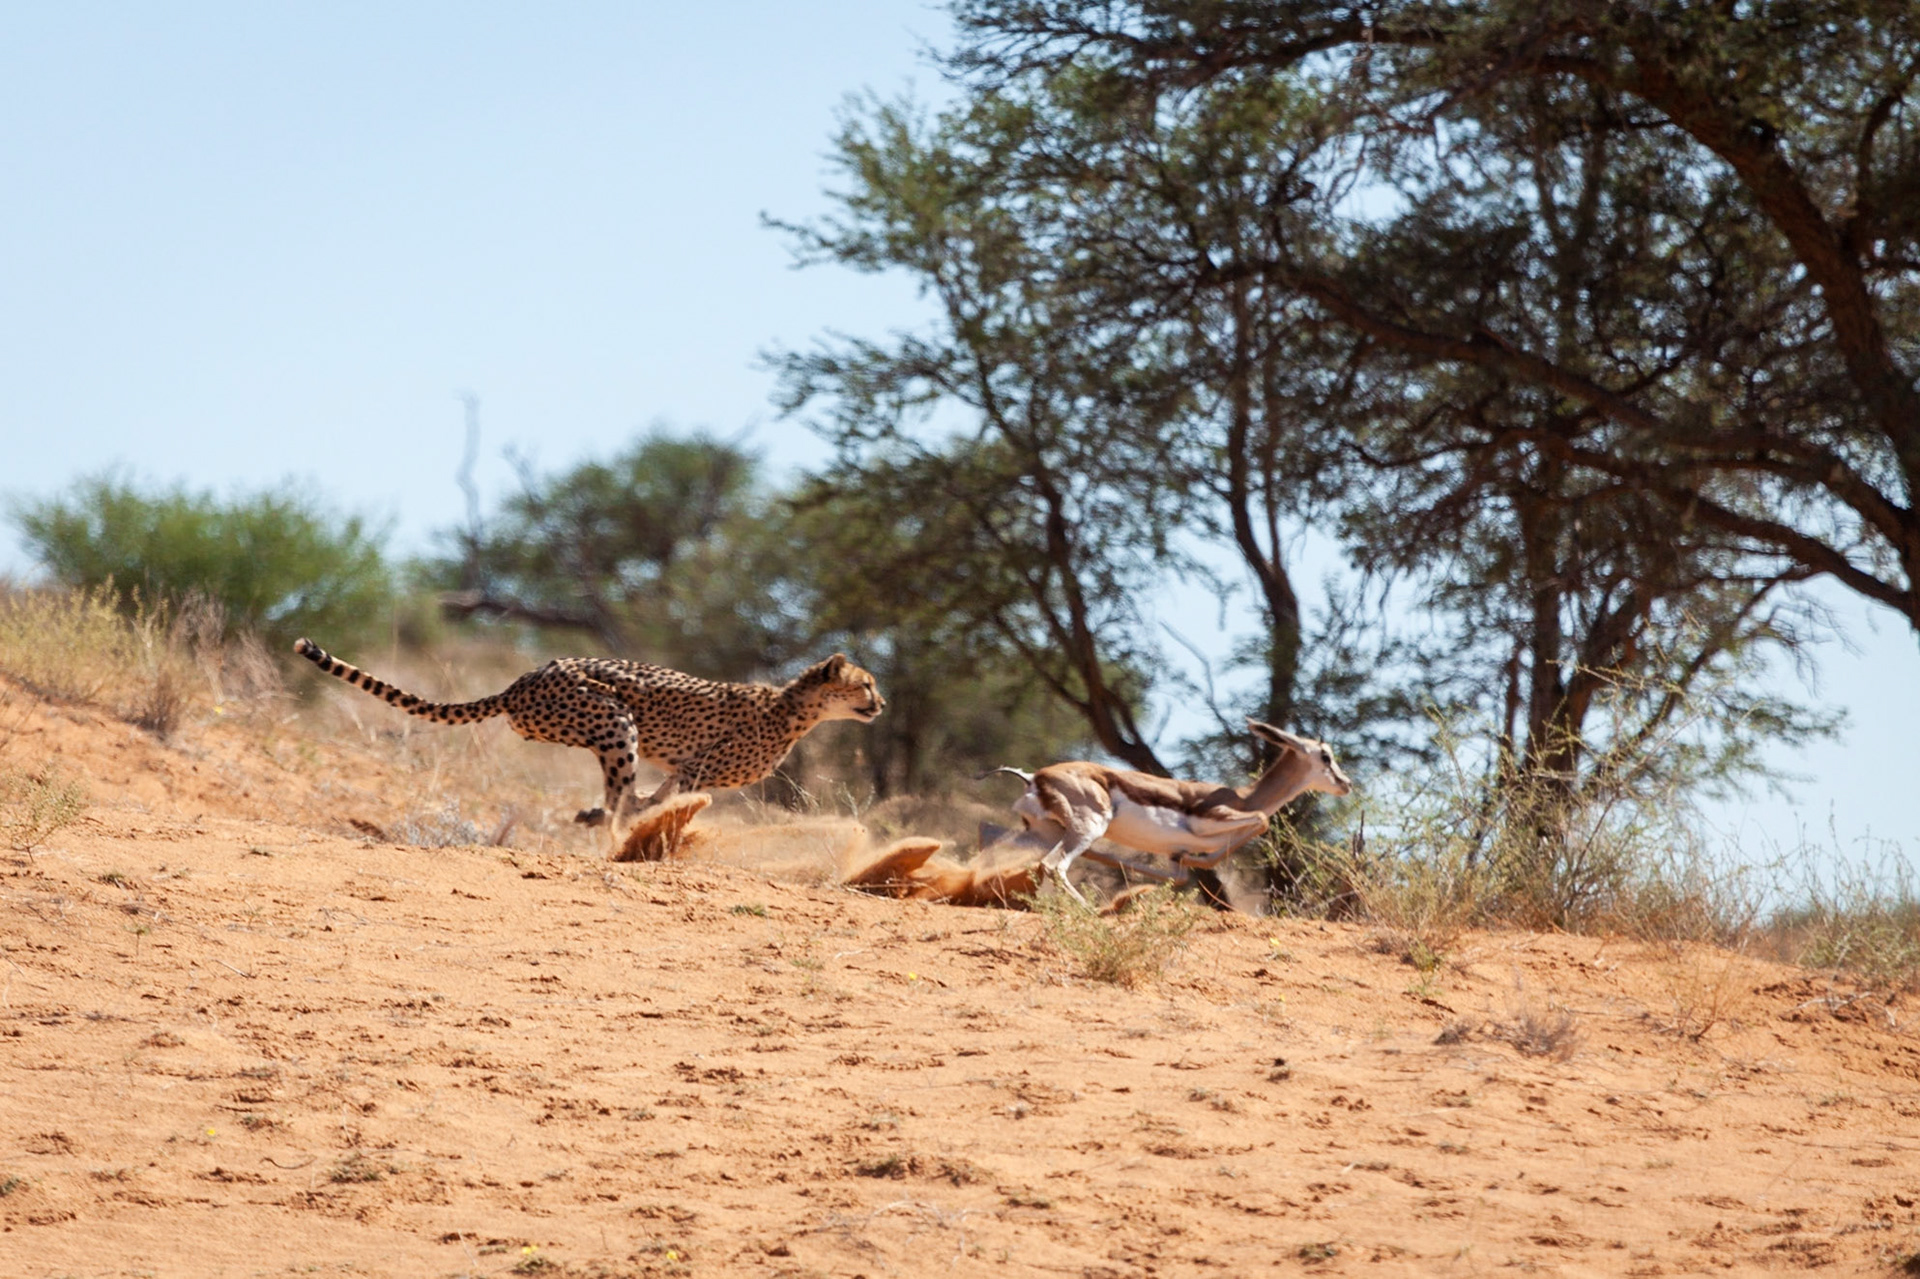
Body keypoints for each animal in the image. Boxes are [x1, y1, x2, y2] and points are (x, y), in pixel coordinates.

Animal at [292, 638, 884, 850]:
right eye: (866, 683)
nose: (882, 704)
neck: (796, 710)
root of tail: (523, 680)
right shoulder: (698, 768)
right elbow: (667, 800)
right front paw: (649, 831)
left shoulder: (685, 768)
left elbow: (660, 794)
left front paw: (632, 816)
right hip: (615, 719)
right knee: (619, 791)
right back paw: (609, 828)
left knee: (620, 794)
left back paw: (597, 817)